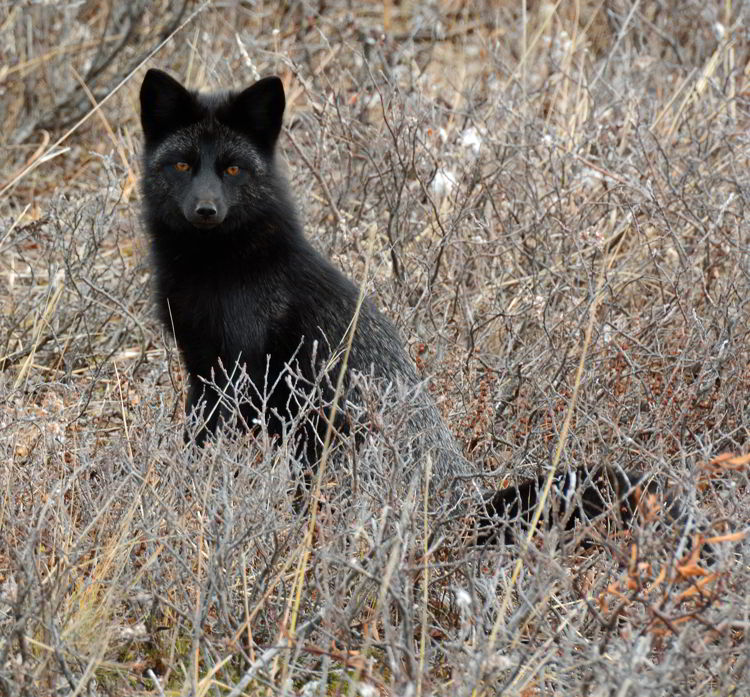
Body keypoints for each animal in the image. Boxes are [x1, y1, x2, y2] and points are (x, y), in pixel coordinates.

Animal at [138, 69, 696, 548]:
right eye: (183, 164)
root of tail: (464, 510)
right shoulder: (200, 368)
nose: (206, 210)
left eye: (232, 168)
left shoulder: (234, 377)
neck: (222, 270)